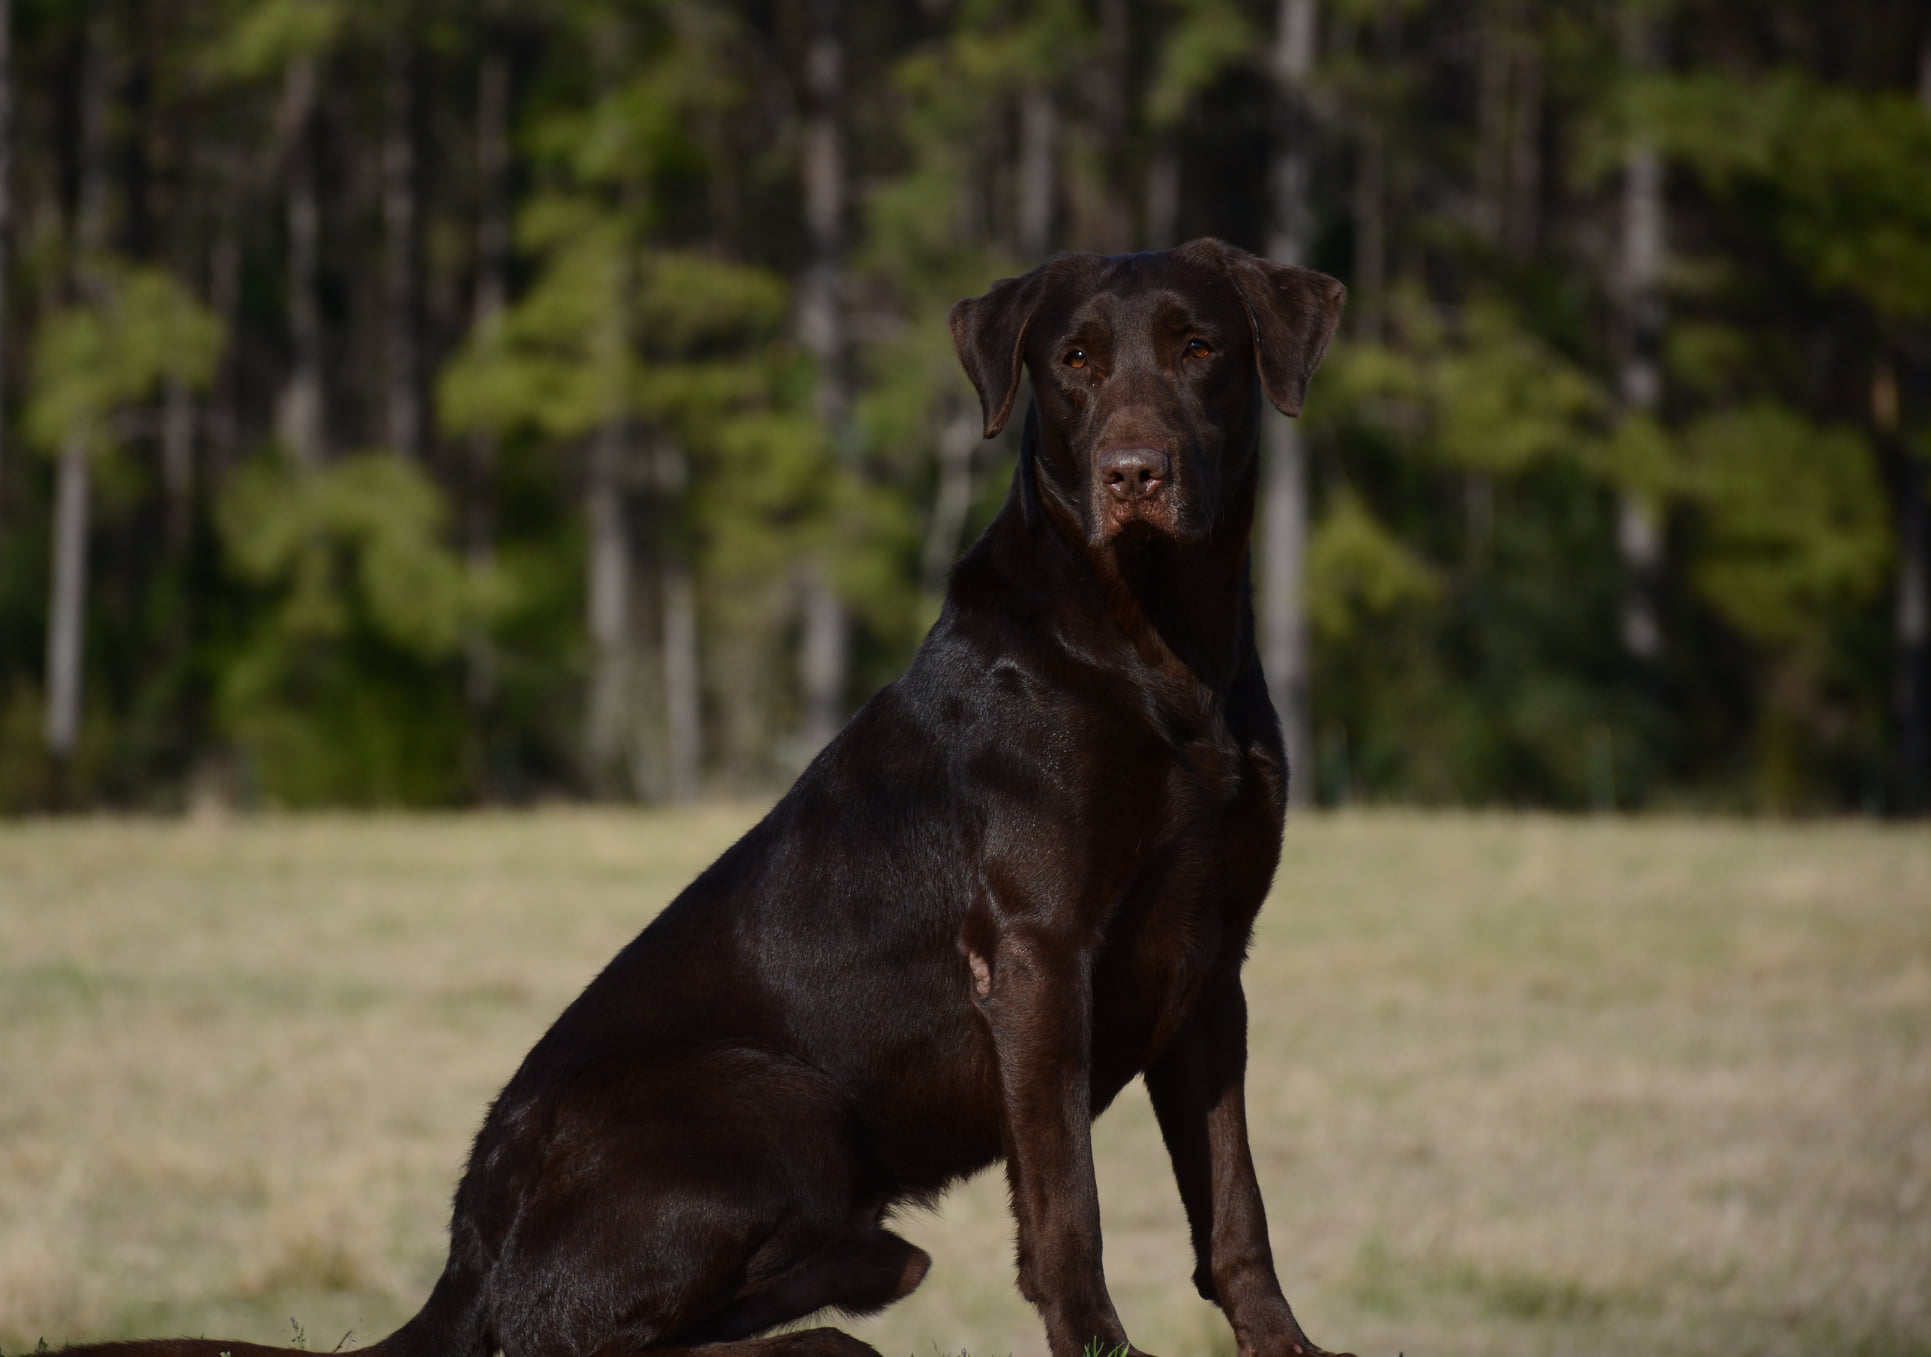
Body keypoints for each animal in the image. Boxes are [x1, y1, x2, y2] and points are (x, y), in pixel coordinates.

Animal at [68, 239, 1351, 1357]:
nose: (1134, 474)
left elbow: (1233, 1204)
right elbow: (1067, 1206)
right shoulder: (1038, 954)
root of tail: (462, 1257)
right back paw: (847, 1300)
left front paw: (1289, 1346)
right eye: (1073, 361)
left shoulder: (1209, 960)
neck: (1158, 647)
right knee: (579, 1335)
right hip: (776, 1098)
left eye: (1198, 348)